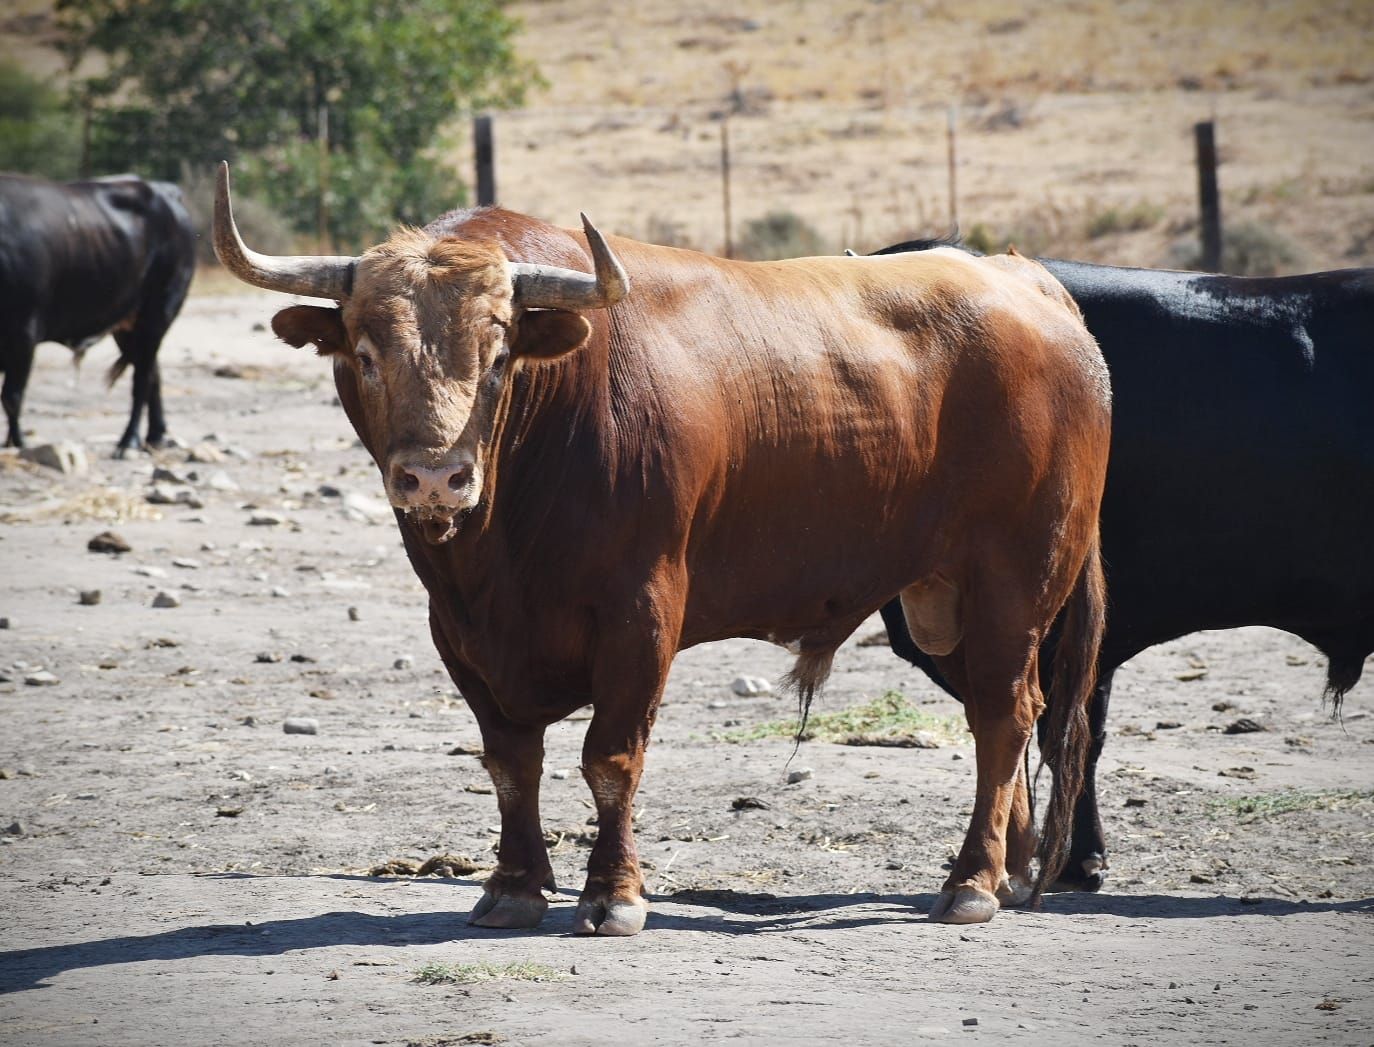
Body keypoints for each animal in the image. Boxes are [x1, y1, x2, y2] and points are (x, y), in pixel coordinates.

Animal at [0, 173, 196, 456]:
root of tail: (165, 192)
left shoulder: (24, 331)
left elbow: (12, 396)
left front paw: (18, 442)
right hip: (129, 327)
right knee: (153, 373)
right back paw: (155, 435)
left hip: (158, 313)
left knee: (142, 379)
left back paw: (129, 440)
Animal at [217, 163, 1115, 928]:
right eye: (367, 353)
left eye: (500, 352)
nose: (436, 476)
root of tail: (1028, 283)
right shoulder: (458, 629)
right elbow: (510, 762)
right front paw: (512, 887)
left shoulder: (642, 612)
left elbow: (610, 758)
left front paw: (613, 894)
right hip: (946, 600)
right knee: (1000, 713)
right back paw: (1008, 868)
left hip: (1017, 578)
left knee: (1005, 714)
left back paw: (970, 882)